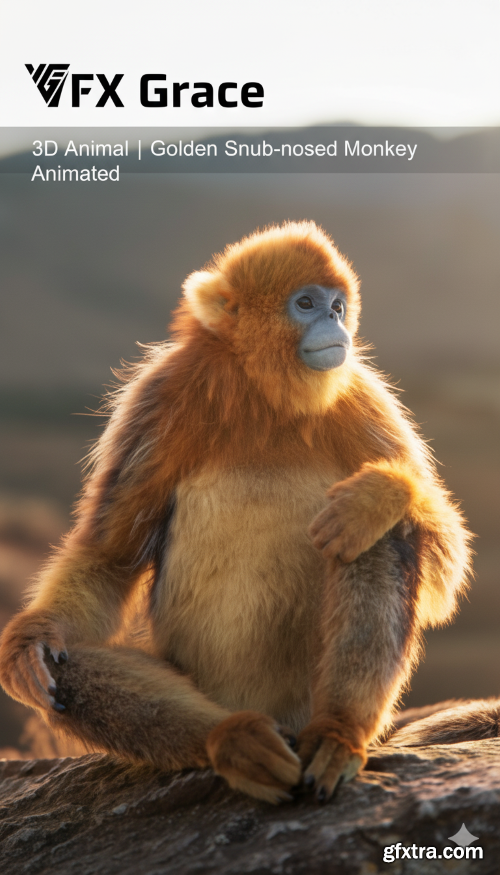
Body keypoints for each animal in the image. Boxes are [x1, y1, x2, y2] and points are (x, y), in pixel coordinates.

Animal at [0, 221, 471, 804]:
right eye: (306, 304)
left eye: (338, 306)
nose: (335, 323)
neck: (264, 392)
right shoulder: (162, 394)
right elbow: (109, 557)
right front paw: (31, 640)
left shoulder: (361, 394)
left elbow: (444, 574)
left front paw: (380, 493)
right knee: (63, 672)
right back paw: (233, 738)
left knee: (373, 535)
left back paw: (336, 732)